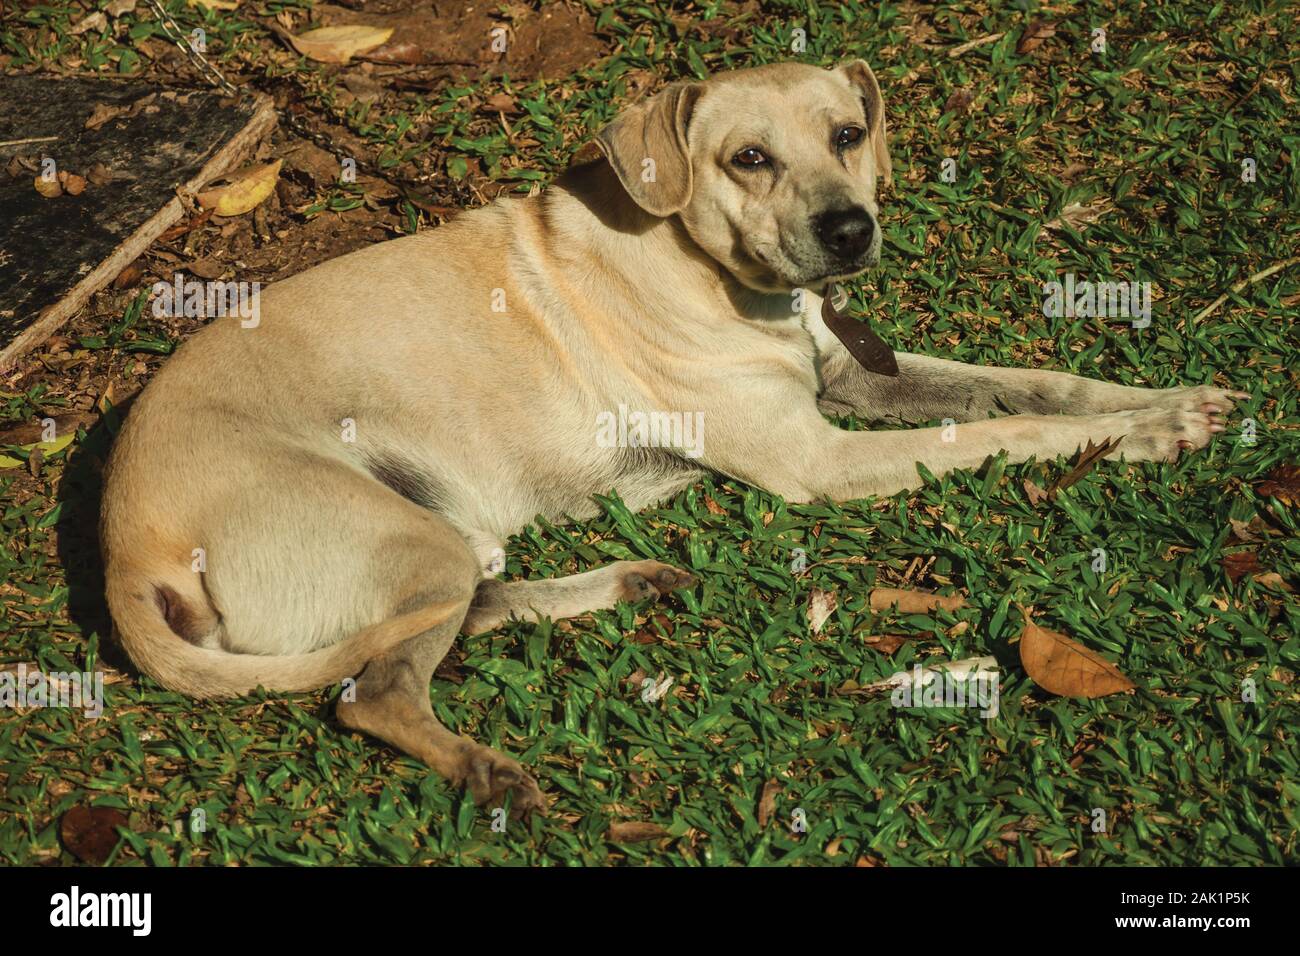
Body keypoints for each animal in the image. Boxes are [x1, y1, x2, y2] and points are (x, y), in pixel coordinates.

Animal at [98, 61, 1237, 816]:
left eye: (846, 134)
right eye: (748, 159)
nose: (850, 232)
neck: (714, 271)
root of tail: (121, 547)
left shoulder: (856, 383)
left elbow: (1037, 385)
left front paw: (1163, 399)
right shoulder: (820, 460)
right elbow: (1014, 428)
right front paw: (1144, 434)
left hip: (444, 545)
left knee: (455, 618)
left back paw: (626, 581)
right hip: (407, 541)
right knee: (373, 693)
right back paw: (485, 767)